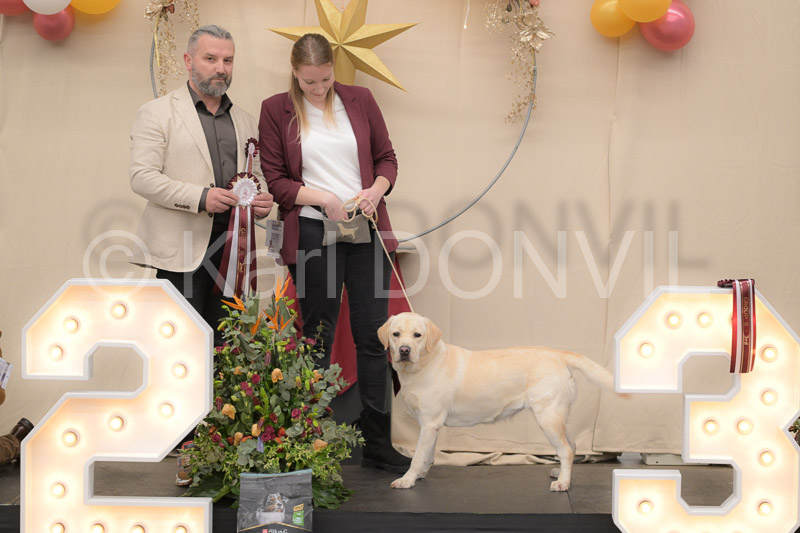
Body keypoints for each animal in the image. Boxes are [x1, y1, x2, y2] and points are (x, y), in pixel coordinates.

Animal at [378, 312, 616, 492]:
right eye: (396, 334)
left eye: (417, 335)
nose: (405, 350)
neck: (426, 363)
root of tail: (559, 354)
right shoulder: (431, 425)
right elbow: (427, 455)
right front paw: (420, 475)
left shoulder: (429, 423)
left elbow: (417, 456)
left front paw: (407, 480)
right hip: (557, 416)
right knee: (572, 446)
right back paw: (561, 474)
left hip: (547, 417)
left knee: (566, 450)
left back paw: (563, 483)